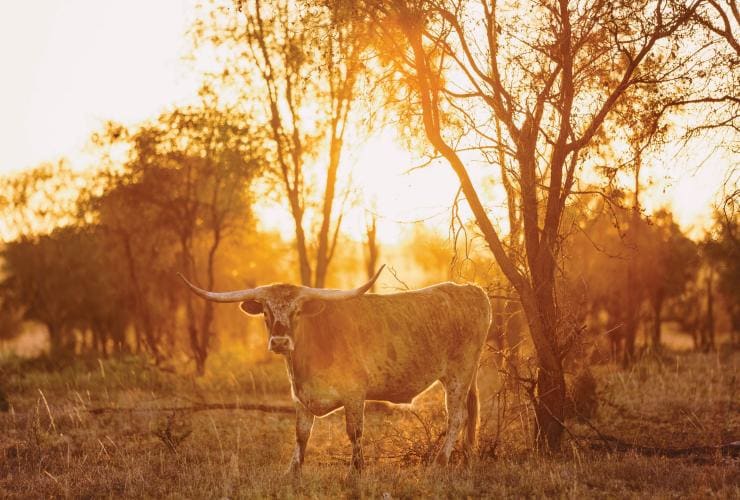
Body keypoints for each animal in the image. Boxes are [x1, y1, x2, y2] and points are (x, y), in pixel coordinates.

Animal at [179, 266, 491, 478]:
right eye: (266, 312)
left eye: (297, 312)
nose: (280, 342)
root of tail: (471, 289)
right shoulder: (300, 398)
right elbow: (301, 434)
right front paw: (293, 470)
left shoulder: (354, 394)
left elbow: (354, 432)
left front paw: (356, 469)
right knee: (468, 416)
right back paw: (467, 459)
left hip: (459, 373)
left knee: (457, 417)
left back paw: (440, 462)